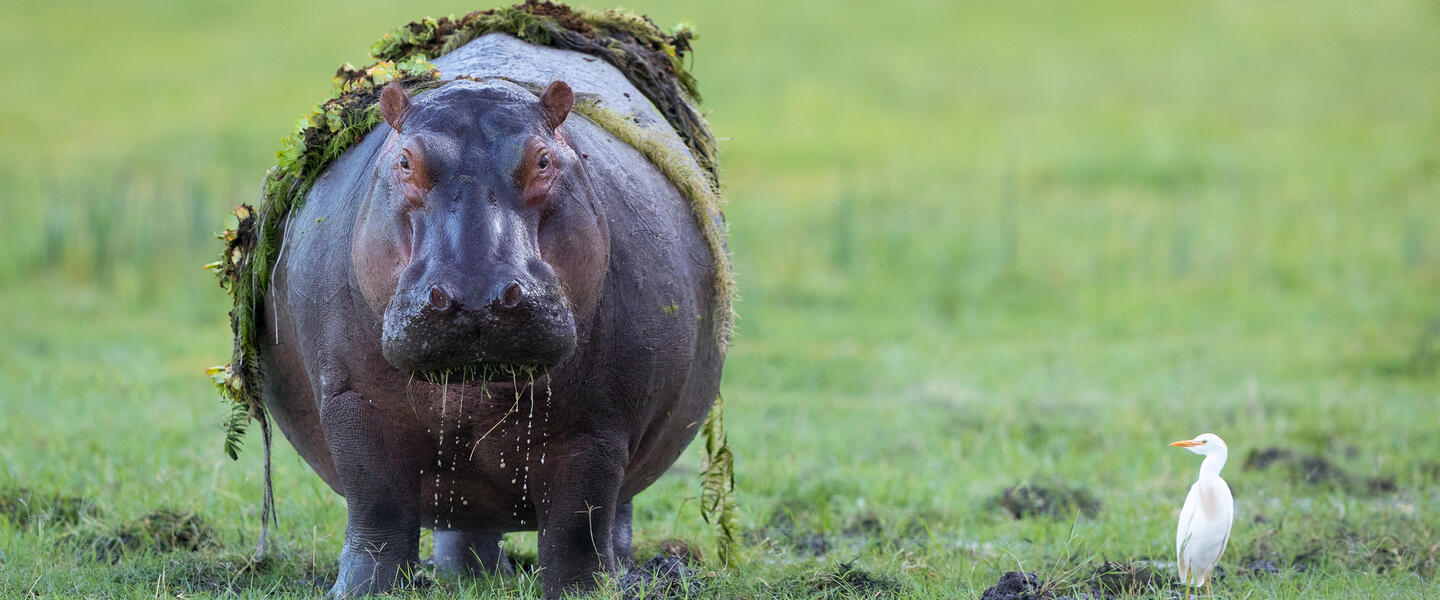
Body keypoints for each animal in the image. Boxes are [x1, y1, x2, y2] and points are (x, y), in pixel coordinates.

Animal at [253, 33, 725, 598]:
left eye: (542, 159)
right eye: (405, 161)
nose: (476, 294)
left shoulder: (599, 421)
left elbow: (579, 521)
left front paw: (583, 591)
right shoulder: (352, 399)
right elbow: (376, 508)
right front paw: (362, 592)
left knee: (614, 513)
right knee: (464, 523)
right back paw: (470, 576)